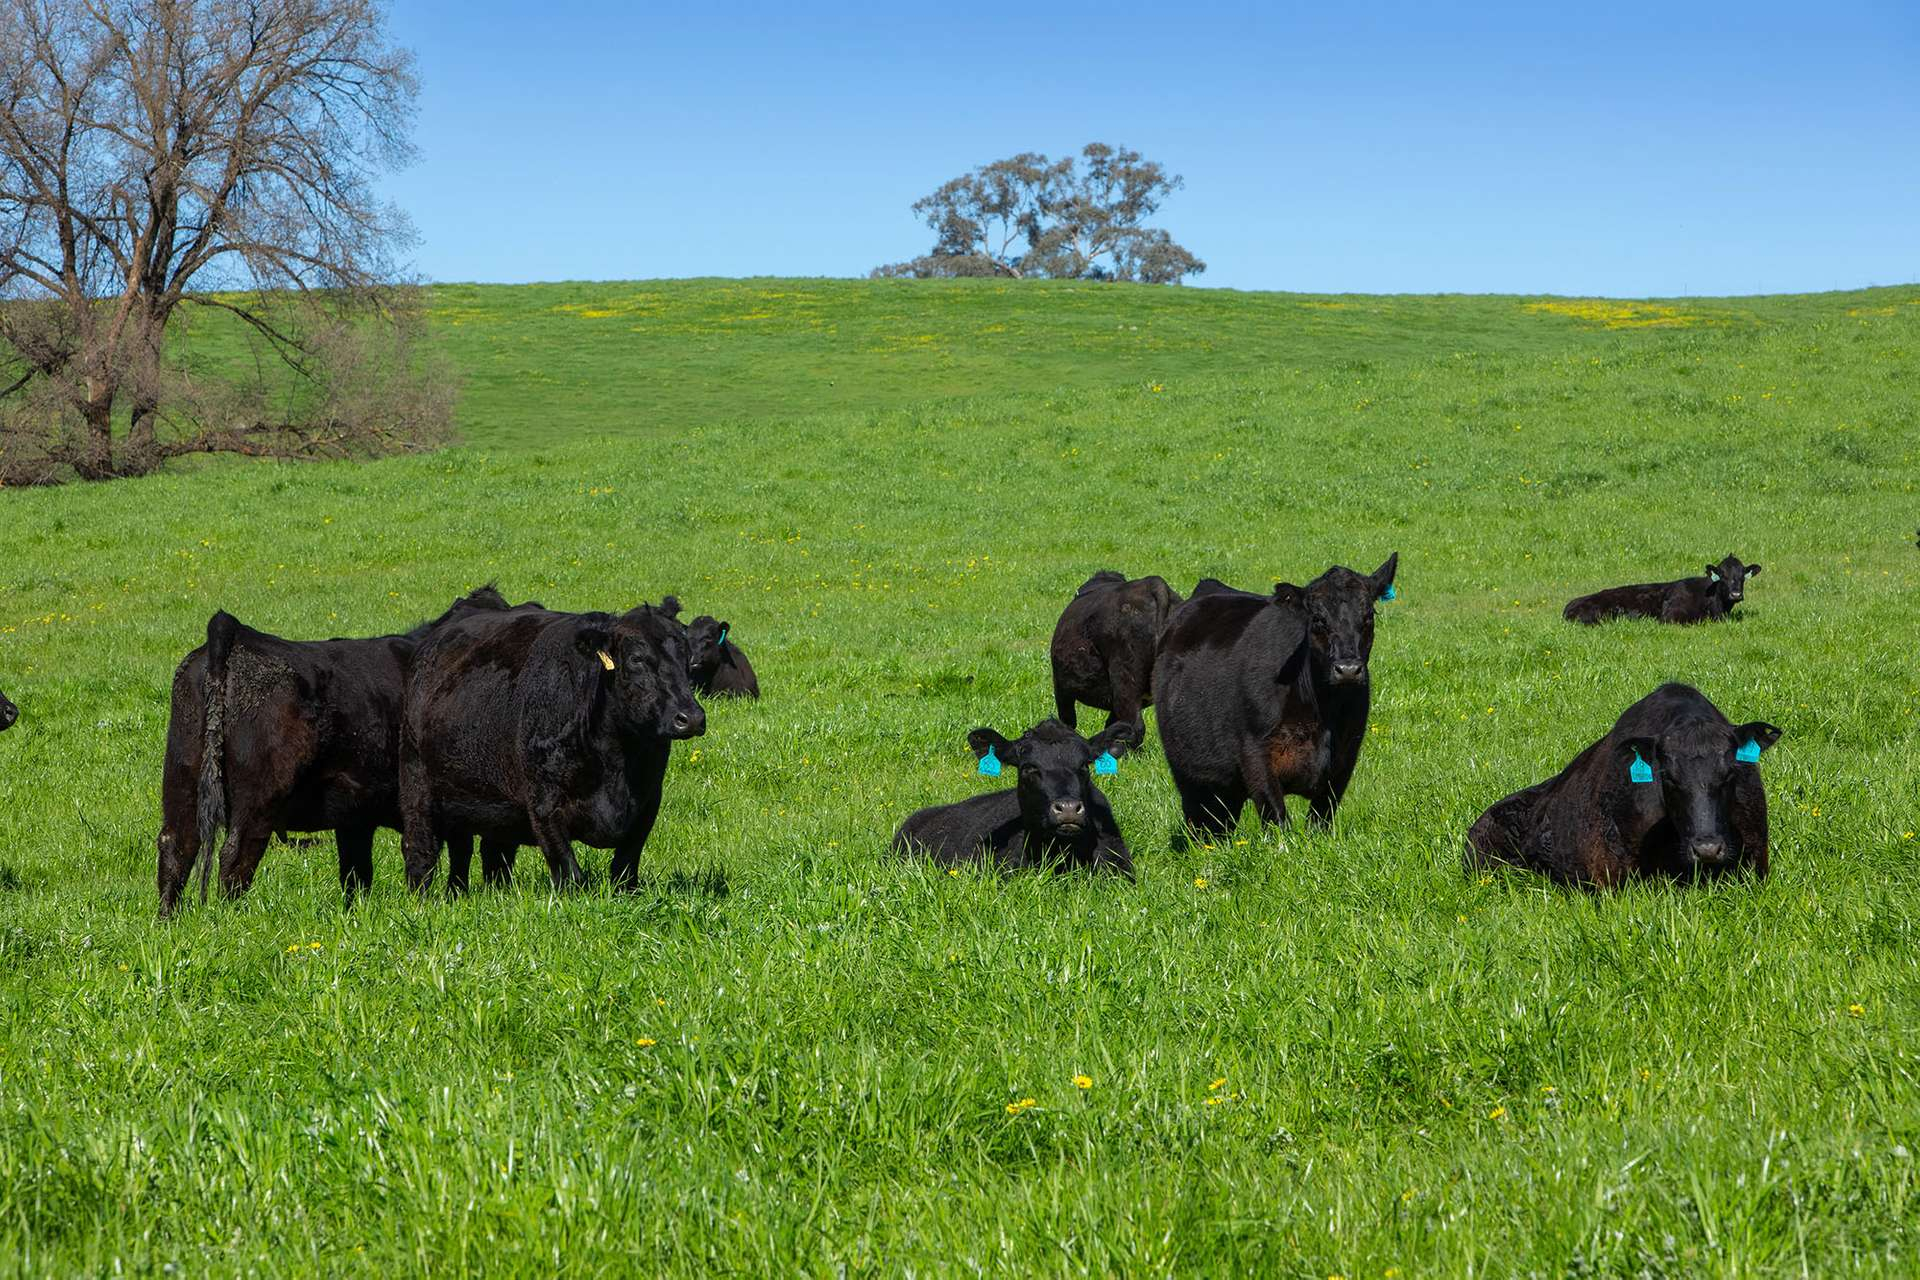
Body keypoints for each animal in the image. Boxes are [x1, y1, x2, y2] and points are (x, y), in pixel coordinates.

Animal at [157, 586, 526, 917]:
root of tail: (234, 632)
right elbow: (465, 851)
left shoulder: (355, 814)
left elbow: (356, 872)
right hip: (259, 795)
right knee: (235, 855)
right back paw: (231, 918)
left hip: (182, 775)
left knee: (176, 845)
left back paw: (168, 920)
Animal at [399, 599, 704, 892]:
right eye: (636, 658)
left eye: (688, 658)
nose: (691, 718)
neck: (616, 759)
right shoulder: (543, 803)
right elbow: (570, 873)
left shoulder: (648, 803)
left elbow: (625, 868)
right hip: (418, 784)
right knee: (421, 851)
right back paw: (423, 898)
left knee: (479, 852)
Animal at [1152, 554, 1398, 833]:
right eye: (1317, 618)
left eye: (1368, 616)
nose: (1348, 670)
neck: (1322, 711)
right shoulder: (1256, 755)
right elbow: (1278, 821)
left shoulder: (1344, 759)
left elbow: (1320, 820)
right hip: (1192, 776)